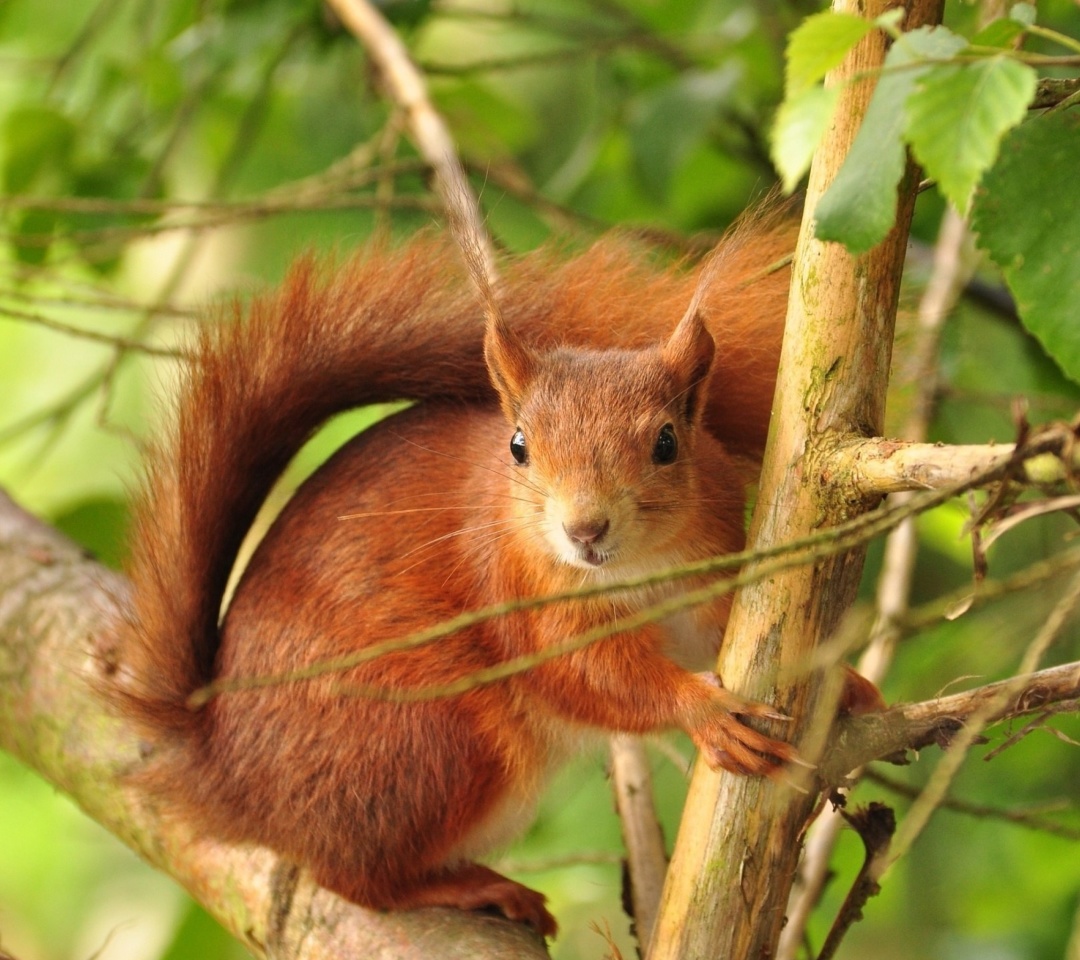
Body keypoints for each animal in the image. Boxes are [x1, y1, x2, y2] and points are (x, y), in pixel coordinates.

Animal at [113, 214, 872, 937]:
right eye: (519, 446)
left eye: (666, 443)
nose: (585, 530)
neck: (637, 568)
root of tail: (225, 775)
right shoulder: (518, 593)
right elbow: (587, 674)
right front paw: (704, 711)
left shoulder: (710, 571)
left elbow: (727, 634)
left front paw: (844, 681)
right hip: (432, 740)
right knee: (354, 879)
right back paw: (469, 887)